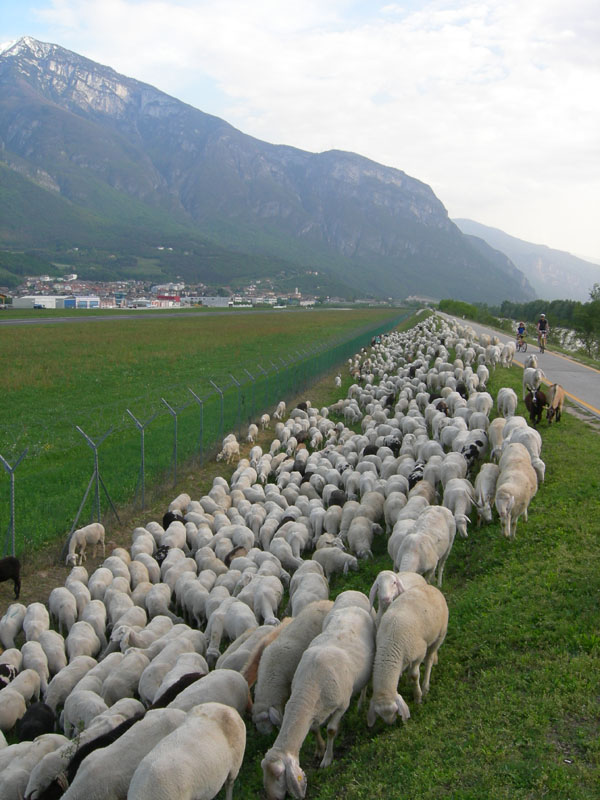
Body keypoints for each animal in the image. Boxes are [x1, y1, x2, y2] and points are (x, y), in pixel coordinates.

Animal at [262, 604, 376, 796]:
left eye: (278, 775)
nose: (271, 798)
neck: (308, 689)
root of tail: (354, 607)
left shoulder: (342, 705)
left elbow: (331, 730)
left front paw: (327, 759)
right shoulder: (312, 711)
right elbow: (315, 729)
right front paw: (319, 749)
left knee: (365, 685)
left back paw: (361, 703)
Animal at [366, 580, 450, 724]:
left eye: (395, 710)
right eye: (380, 715)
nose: (391, 724)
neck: (389, 645)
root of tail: (431, 587)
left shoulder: (419, 653)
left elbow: (414, 675)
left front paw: (418, 697)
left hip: (440, 635)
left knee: (429, 659)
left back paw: (425, 686)